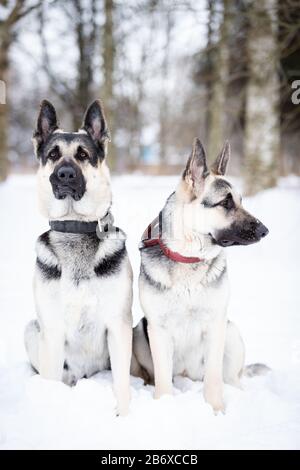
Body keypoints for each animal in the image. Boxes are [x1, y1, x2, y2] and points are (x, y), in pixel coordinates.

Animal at [25, 99, 133, 414]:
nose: (64, 175)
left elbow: (122, 384)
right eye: (53, 155)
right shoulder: (51, 330)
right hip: (32, 331)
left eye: (83, 155)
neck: (75, 227)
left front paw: (125, 415)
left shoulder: (119, 326)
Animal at [131, 138, 270, 414]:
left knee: (230, 378)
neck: (189, 258)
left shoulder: (215, 325)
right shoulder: (158, 330)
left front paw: (216, 411)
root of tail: (187, 375)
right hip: (140, 333)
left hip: (231, 332)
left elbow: (214, 379)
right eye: (226, 203)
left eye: (241, 200)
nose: (265, 230)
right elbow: (163, 381)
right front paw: (163, 407)